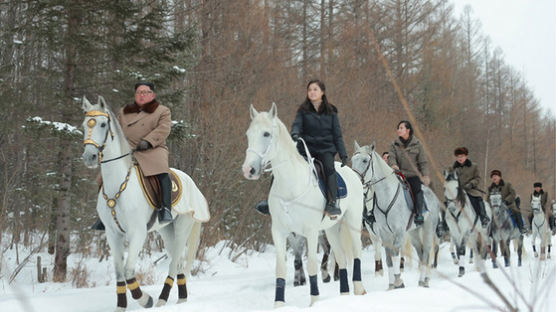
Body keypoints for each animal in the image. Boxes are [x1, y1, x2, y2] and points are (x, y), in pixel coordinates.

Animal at [82, 96, 211, 310]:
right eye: (85, 124)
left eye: (102, 124)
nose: (89, 157)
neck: (118, 185)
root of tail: (190, 181)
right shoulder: (112, 234)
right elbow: (119, 272)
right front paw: (120, 307)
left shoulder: (137, 233)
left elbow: (128, 271)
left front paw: (145, 299)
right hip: (166, 231)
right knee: (178, 262)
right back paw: (180, 299)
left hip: (182, 227)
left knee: (174, 263)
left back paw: (161, 300)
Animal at [242, 103, 364, 308]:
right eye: (248, 134)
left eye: (266, 134)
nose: (248, 170)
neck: (291, 185)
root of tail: (353, 173)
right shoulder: (280, 232)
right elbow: (281, 268)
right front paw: (278, 305)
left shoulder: (311, 232)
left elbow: (312, 264)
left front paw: (314, 302)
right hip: (331, 229)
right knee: (340, 258)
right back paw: (344, 294)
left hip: (352, 222)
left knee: (356, 253)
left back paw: (359, 289)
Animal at [352, 141, 438, 288]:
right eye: (353, 160)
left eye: (364, 160)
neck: (386, 195)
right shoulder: (384, 233)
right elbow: (388, 258)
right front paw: (391, 284)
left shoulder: (399, 232)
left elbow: (395, 255)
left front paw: (398, 281)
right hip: (414, 233)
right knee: (421, 253)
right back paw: (422, 280)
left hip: (427, 230)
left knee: (426, 253)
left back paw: (424, 281)